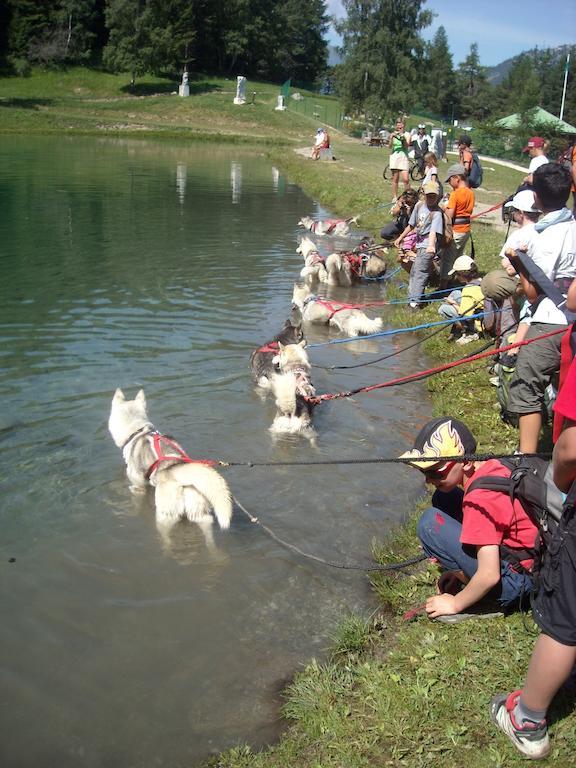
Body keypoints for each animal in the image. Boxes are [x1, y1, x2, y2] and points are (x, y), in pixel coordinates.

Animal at [108, 390, 232, 544]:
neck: (138, 430)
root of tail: (178, 472)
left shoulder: (138, 485)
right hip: (199, 511)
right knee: (207, 530)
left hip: (165, 515)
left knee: (166, 535)